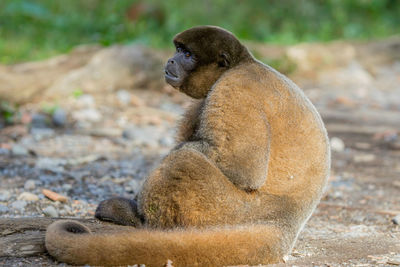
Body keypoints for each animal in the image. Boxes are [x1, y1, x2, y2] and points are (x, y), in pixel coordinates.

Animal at [45, 25, 330, 267]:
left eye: (187, 54)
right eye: (177, 50)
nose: (171, 60)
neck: (241, 63)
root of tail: (287, 222)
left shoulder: (234, 89)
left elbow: (243, 170)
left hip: (232, 214)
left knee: (183, 161)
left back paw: (138, 219)